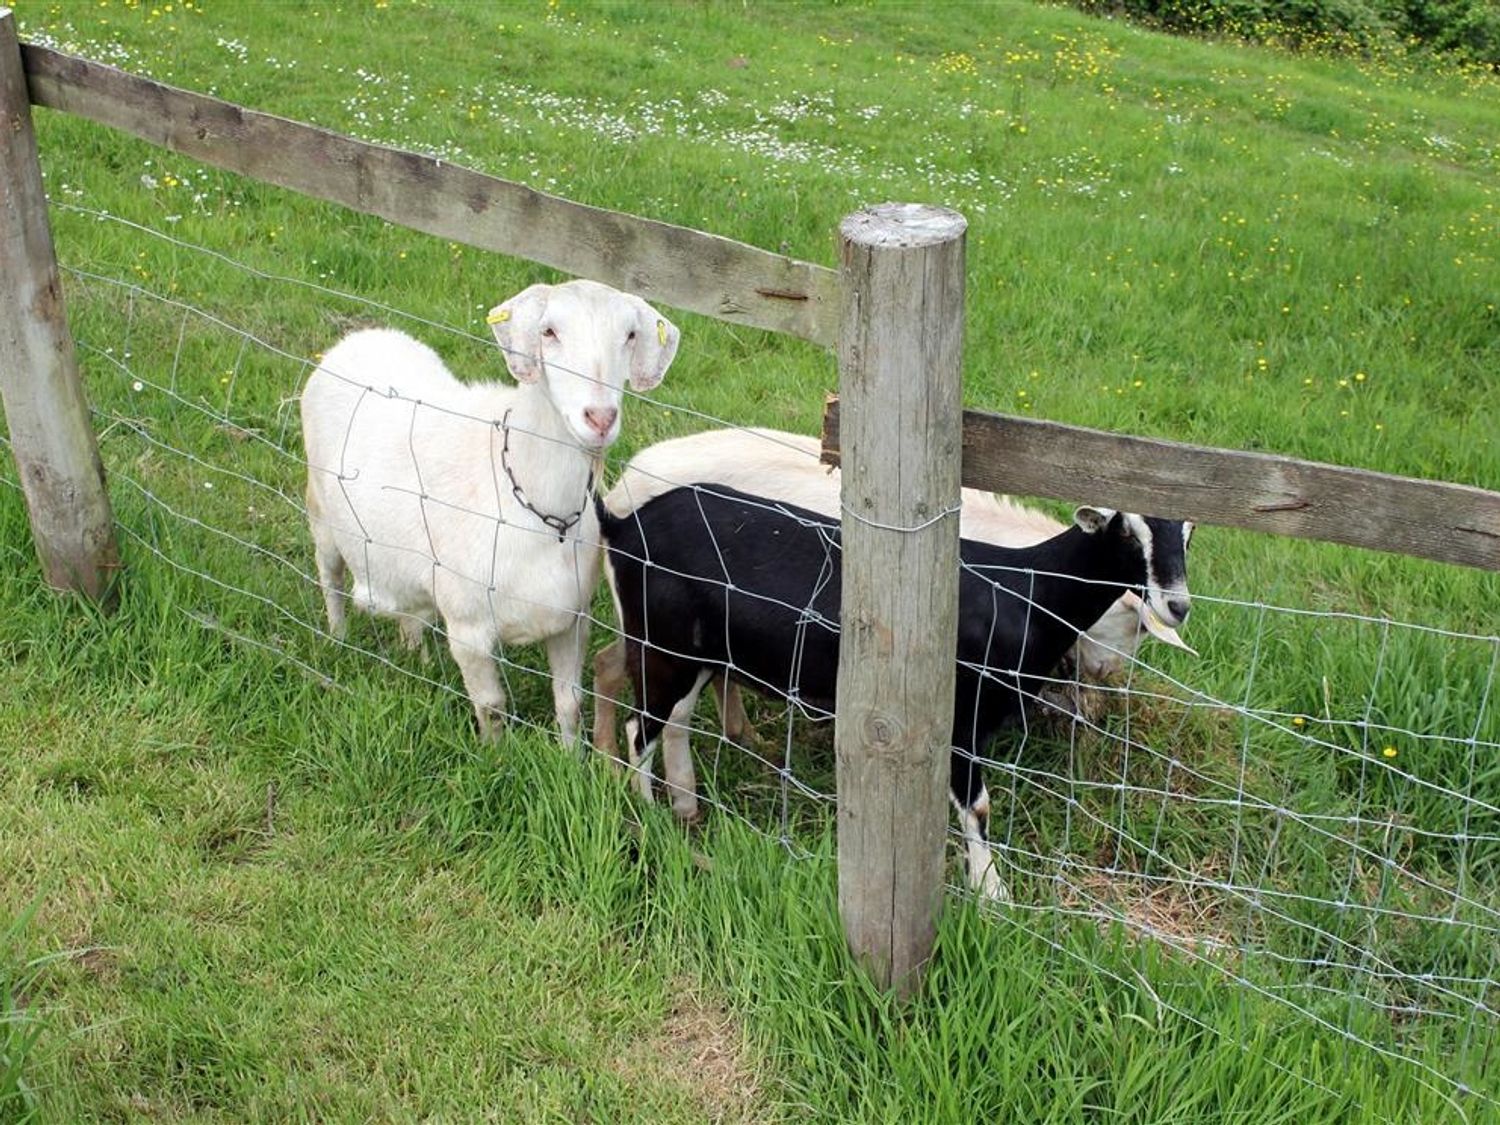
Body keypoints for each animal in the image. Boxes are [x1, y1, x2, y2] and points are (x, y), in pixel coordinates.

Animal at [301, 280, 678, 750]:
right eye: (548, 331)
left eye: (629, 335)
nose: (600, 418)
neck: (538, 508)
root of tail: (360, 338)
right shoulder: (468, 629)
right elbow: (492, 706)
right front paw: (495, 756)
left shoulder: (571, 620)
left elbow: (570, 702)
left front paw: (571, 756)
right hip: (321, 513)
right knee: (330, 578)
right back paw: (336, 639)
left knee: (408, 611)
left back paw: (417, 659)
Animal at [597, 486, 1194, 900]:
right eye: (1126, 531)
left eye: (1187, 533)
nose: (1178, 606)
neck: (1024, 590)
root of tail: (623, 527)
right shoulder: (960, 717)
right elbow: (977, 805)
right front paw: (991, 892)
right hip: (661, 644)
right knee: (638, 728)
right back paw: (648, 816)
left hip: (694, 654)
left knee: (673, 720)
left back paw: (685, 807)